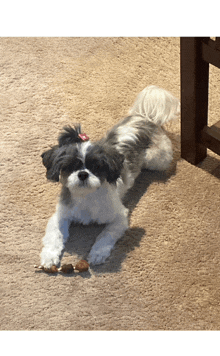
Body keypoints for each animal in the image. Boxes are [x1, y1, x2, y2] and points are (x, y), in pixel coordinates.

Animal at [40, 86, 180, 268]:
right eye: (70, 167)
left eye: (96, 167)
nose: (83, 174)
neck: (87, 197)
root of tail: (144, 117)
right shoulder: (61, 216)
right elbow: (54, 236)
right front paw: (49, 256)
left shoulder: (119, 217)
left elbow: (105, 236)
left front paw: (97, 253)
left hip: (156, 160)